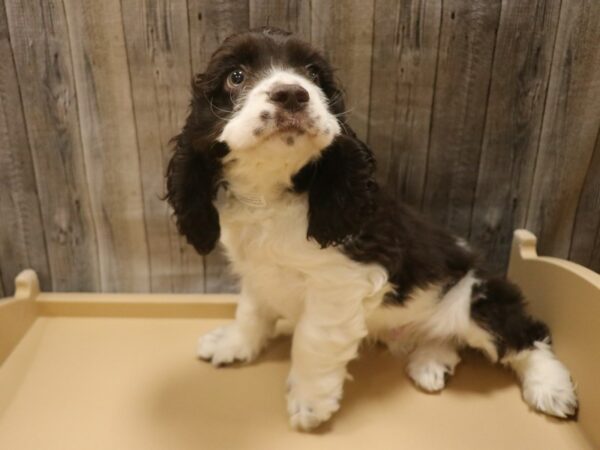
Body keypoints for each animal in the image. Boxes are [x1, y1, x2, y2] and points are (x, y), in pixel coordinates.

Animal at [165, 26, 576, 430]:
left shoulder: (339, 282)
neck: (273, 193)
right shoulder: (256, 269)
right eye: (236, 76)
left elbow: (312, 340)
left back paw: (552, 389)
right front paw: (232, 343)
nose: (292, 93)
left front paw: (310, 404)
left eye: (313, 74)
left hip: (476, 297)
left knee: (528, 335)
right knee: (450, 340)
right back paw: (431, 363)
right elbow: (251, 309)